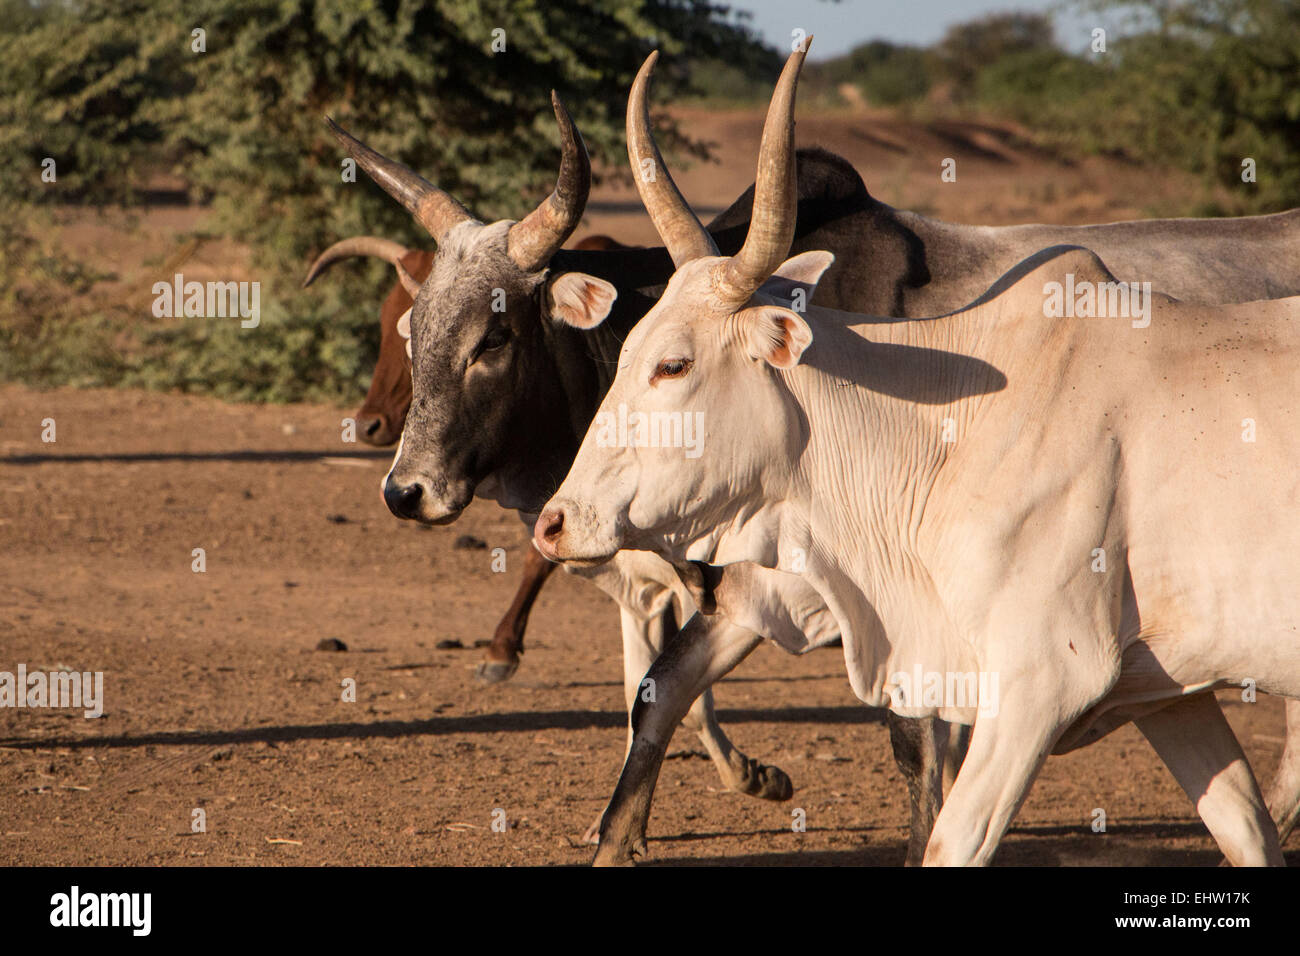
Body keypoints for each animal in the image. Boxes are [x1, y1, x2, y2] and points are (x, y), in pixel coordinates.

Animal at [533, 48, 1294, 868]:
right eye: (625, 352)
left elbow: (951, 836)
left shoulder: (1039, 681)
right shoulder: (1169, 692)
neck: (946, 429)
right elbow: (1248, 830)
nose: (554, 523)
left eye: (673, 366)